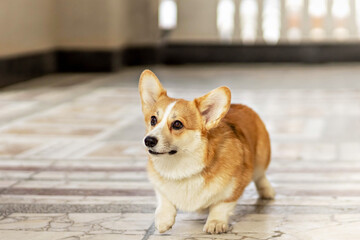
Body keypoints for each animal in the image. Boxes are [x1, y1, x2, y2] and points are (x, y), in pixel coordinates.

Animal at [139, 69, 274, 234]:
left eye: (177, 124)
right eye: (153, 120)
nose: (149, 140)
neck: (180, 167)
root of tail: (242, 105)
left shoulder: (234, 188)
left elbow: (221, 205)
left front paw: (215, 223)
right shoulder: (159, 185)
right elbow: (164, 198)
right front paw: (164, 220)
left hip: (261, 159)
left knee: (260, 176)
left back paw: (267, 191)